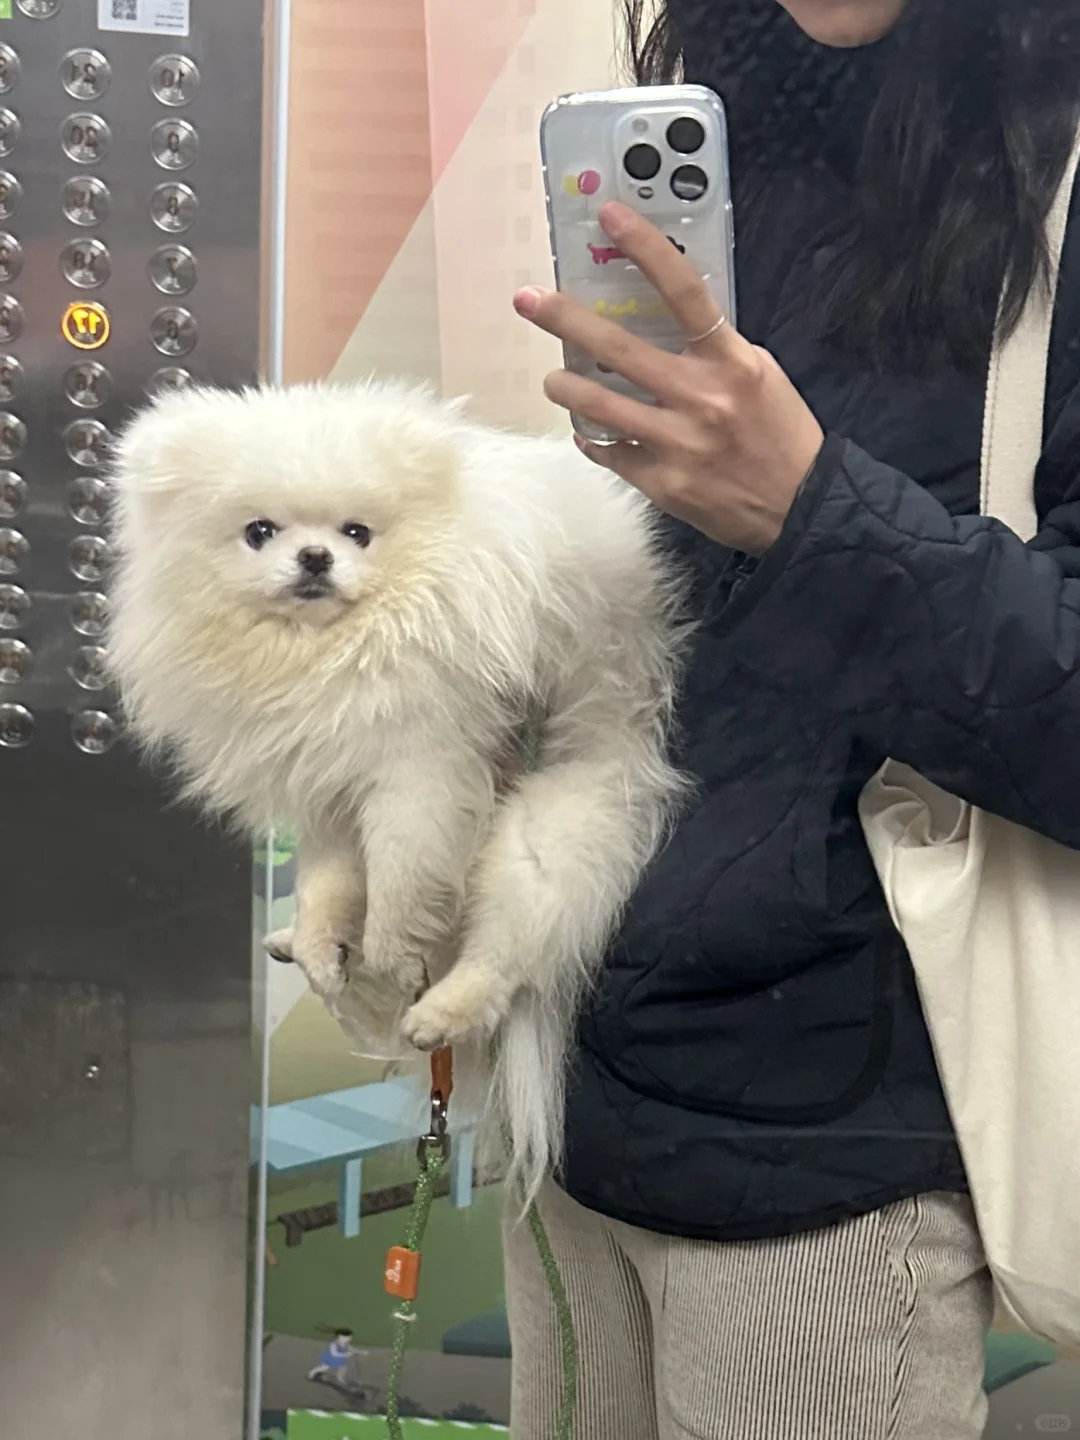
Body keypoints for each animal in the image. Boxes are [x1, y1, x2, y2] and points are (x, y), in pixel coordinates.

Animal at [107, 379, 685, 1202]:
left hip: (555, 821)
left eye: (358, 532)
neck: (324, 650)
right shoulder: (330, 784)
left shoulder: (418, 771)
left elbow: (402, 882)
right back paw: (300, 948)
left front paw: (387, 953)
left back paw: (437, 1009)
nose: (315, 556)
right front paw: (322, 944)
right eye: (258, 532)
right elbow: (326, 885)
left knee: (507, 950)